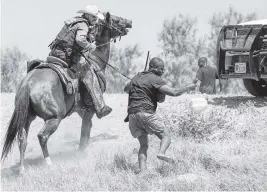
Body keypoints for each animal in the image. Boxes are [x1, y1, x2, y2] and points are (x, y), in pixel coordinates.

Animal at [1, 12, 133, 174]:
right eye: (116, 19)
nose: (130, 22)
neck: (95, 61)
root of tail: (28, 84)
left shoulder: (81, 110)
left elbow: (87, 129)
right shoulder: (89, 109)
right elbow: (84, 131)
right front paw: (81, 153)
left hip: (27, 117)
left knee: (22, 139)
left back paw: (22, 169)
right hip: (54, 118)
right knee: (42, 136)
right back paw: (49, 163)